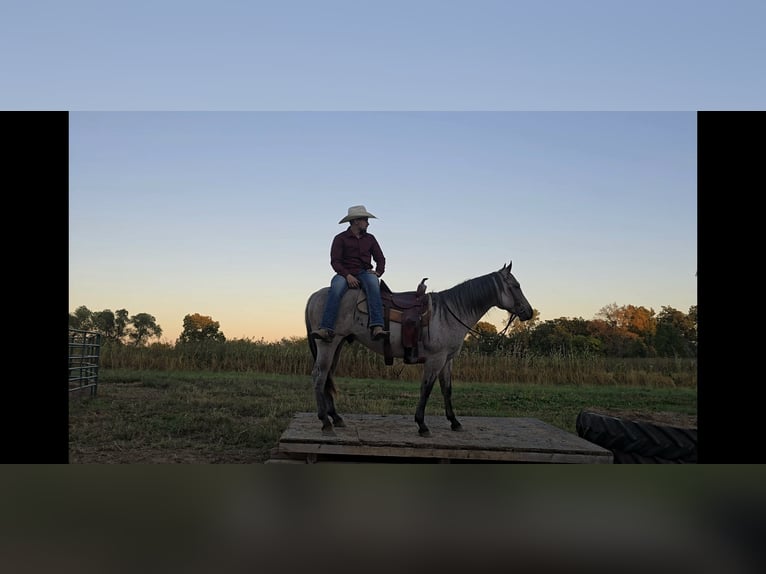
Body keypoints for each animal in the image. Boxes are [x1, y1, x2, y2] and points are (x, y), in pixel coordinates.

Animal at [304, 264, 536, 438]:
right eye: (515, 286)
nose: (528, 312)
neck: (449, 313)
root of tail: (315, 295)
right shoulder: (435, 359)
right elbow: (427, 388)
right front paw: (422, 425)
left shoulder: (447, 360)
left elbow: (447, 389)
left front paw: (454, 422)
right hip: (328, 344)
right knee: (319, 376)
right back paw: (325, 422)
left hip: (338, 345)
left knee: (327, 376)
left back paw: (336, 418)